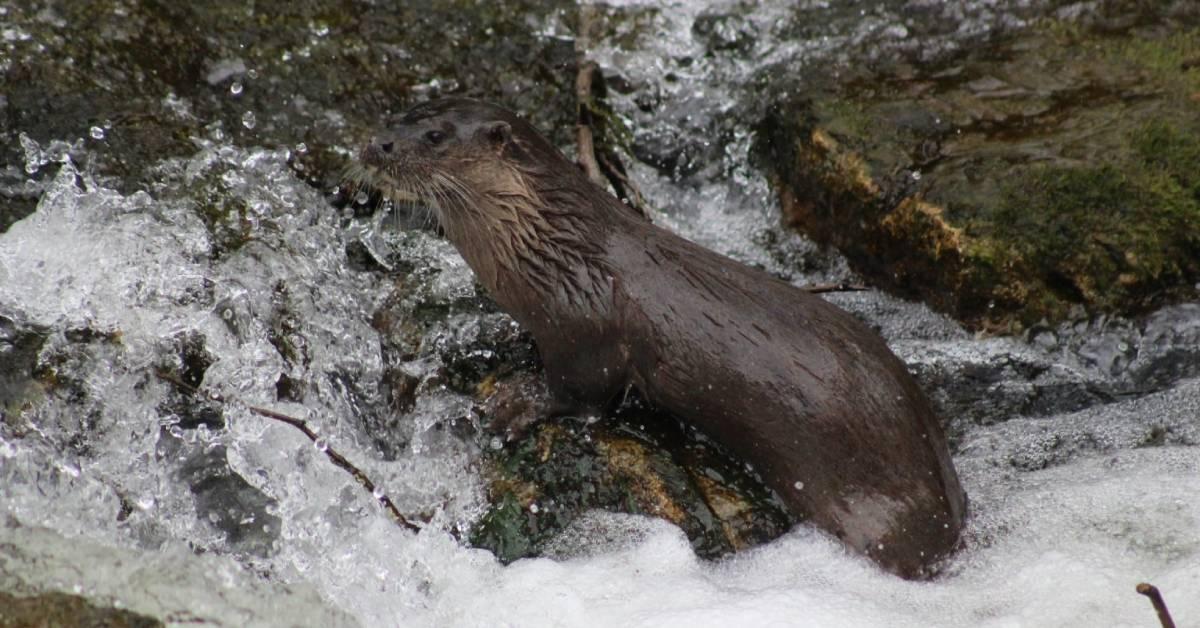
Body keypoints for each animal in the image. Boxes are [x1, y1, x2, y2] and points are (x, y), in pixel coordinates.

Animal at [355, 98, 967, 579]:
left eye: (434, 136)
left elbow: (582, 393)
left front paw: (517, 401)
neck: (557, 253)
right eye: (401, 113)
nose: (375, 142)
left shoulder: (589, 330)